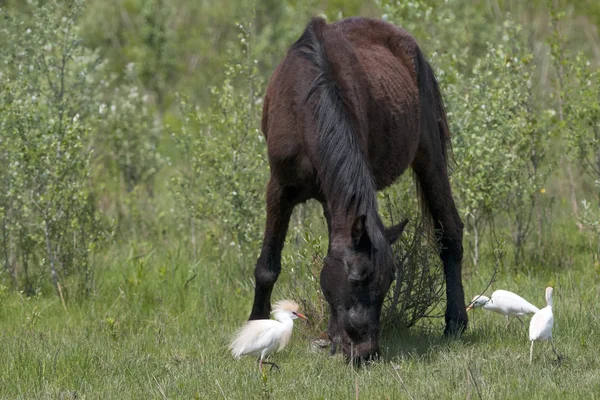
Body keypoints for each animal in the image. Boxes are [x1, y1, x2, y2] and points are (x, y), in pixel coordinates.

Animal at [248, 16, 468, 362]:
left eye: (389, 282)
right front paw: (256, 325)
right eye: (356, 279)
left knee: (449, 231)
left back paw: (456, 321)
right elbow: (268, 267)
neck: (306, 101)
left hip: (429, 156)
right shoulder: (281, 189)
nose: (366, 353)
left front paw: (334, 338)